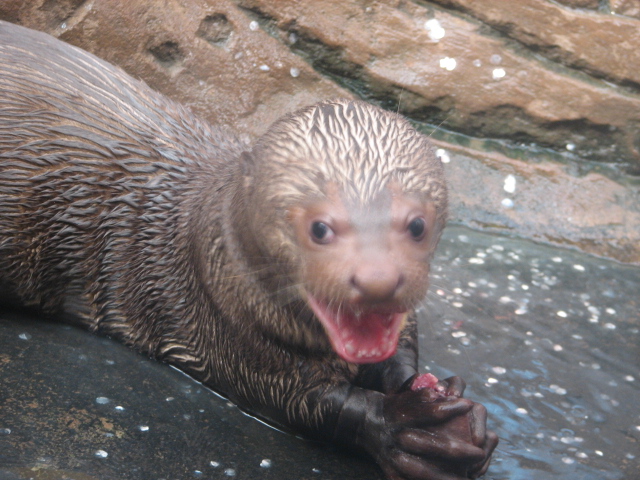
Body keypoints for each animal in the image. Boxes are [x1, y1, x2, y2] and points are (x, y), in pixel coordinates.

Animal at [0, 21, 497, 479]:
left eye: (417, 225)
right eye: (319, 228)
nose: (378, 280)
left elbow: (401, 353)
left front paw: (441, 395)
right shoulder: (231, 334)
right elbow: (312, 403)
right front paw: (402, 428)